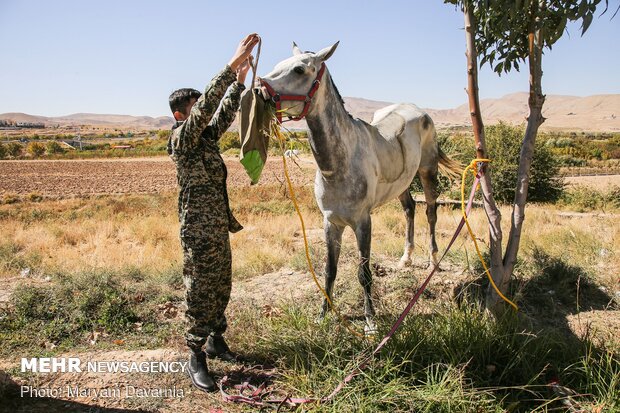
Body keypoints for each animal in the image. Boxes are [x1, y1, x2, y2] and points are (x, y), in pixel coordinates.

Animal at [258, 41, 460, 332]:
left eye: (298, 69)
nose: (259, 91)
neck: (338, 165)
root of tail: (419, 111)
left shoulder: (363, 222)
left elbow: (364, 273)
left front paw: (370, 321)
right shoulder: (331, 222)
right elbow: (329, 270)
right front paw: (323, 315)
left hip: (427, 171)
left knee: (431, 211)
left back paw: (433, 261)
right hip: (403, 183)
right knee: (409, 209)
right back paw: (406, 258)